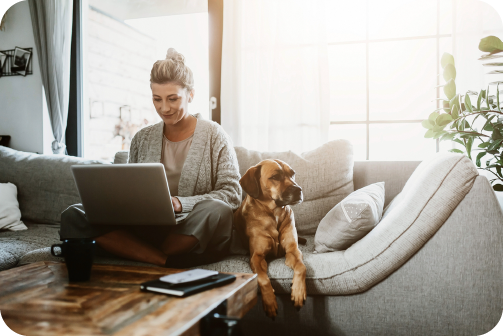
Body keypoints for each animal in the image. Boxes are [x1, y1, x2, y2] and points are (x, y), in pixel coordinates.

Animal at [235, 159, 308, 318]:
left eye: (292, 174)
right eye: (275, 177)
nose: (299, 190)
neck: (274, 213)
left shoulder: (293, 250)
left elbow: (301, 267)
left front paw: (298, 292)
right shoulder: (256, 257)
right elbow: (262, 278)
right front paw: (269, 301)